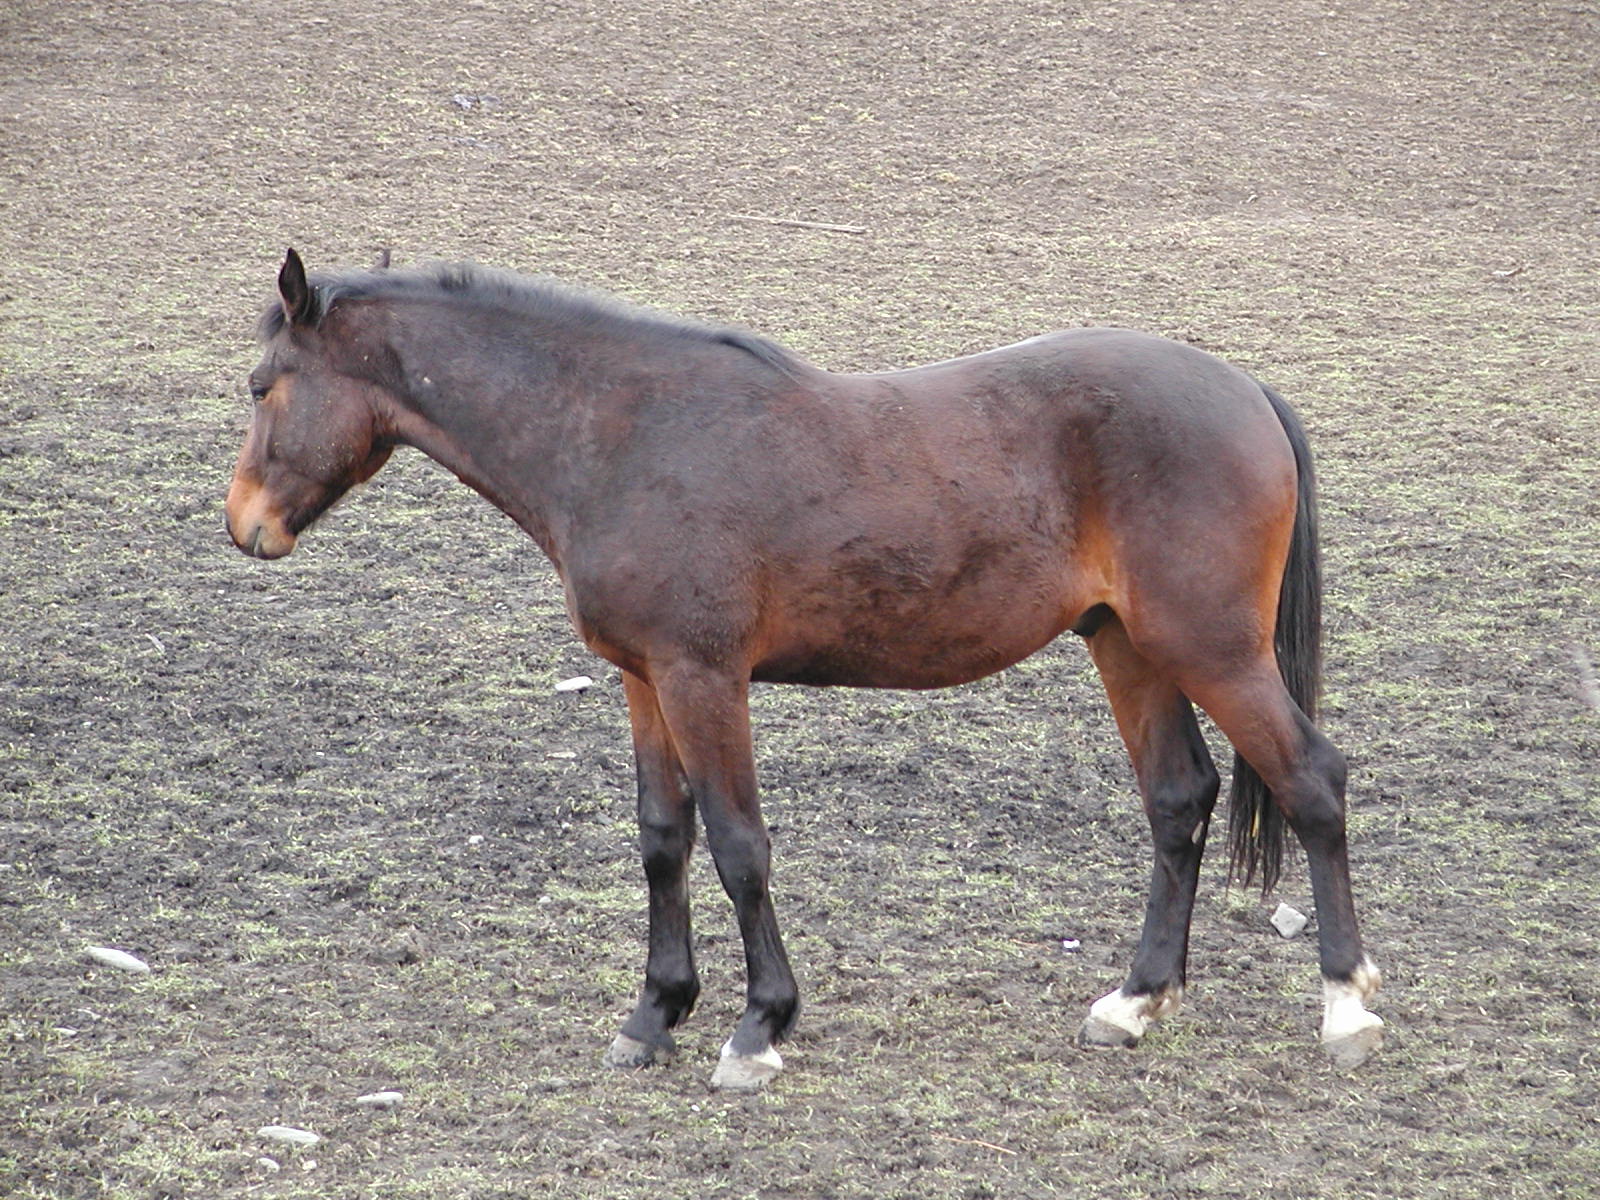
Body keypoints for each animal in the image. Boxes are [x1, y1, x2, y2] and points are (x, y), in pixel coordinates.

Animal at [225, 251, 1388, 1088]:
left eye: (262, 385)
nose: (245, 526)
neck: (624, 435)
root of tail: (1244, 389)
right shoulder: (645, 679)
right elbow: (664, 840)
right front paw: (654, 1015)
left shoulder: (704, 678)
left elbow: (740, 847)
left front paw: (757, 1026)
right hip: (1128, 645)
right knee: (1178, 799)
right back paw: (1136, 1000)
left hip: (1210, 649)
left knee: (1311, 782)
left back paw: (1345, 1003)